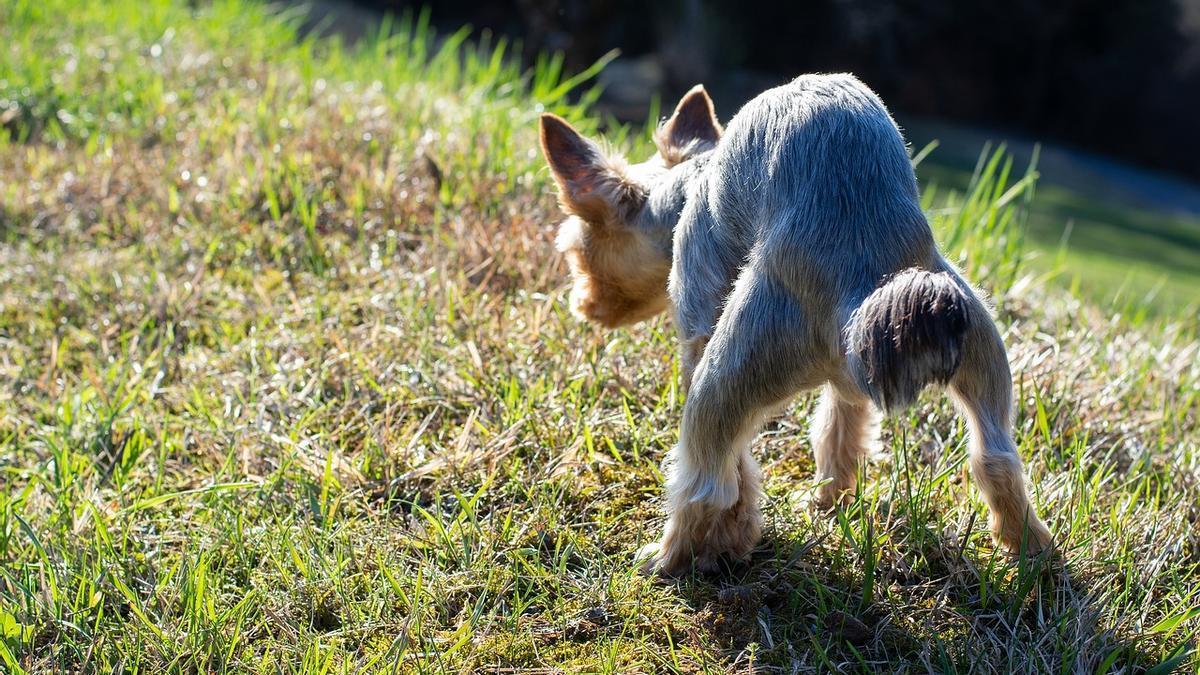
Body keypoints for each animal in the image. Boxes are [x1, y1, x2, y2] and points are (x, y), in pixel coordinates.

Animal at [535, 73, 1051, 571]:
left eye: (575, 251)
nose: (584, 304)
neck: (686, 188)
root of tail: (859, 274)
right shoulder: (851, 385)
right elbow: (840, 430)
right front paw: (821, 502)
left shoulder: (699, 323)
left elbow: (737, 471)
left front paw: (731, 538)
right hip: (977, 337)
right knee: (995, 454)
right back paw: (1030, 547)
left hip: (739, 357)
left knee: (705, 482)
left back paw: (667, 558)